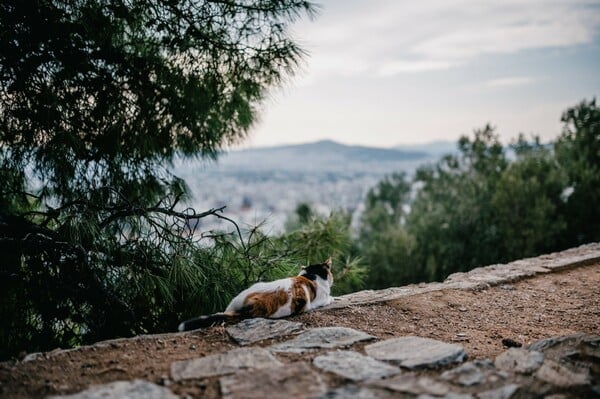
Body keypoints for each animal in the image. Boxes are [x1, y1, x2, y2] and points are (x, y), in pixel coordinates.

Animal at [178, 260, 338, 332]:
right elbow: (328, 298)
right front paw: (333, 298)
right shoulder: (319, 299)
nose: (332, 278)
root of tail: (248, 305)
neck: (311, 276)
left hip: (240, 296)